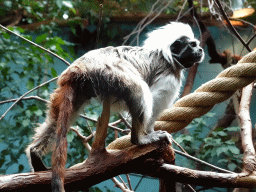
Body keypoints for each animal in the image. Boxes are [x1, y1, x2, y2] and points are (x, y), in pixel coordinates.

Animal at [25, 21, 204, 191]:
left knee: (56, 120)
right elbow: (154, 98)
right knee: (139, 89)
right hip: (112, 71)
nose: (201, 50)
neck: (170, 58)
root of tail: (78, 68)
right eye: (193, 45)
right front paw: (151, 133)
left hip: (77, 89)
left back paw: (35, 153)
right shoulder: (168, 76)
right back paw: (139, 139)